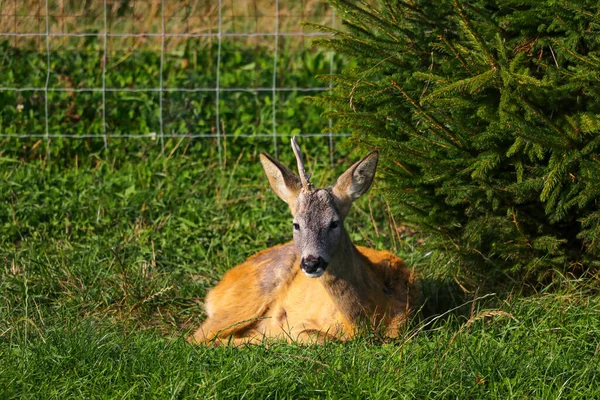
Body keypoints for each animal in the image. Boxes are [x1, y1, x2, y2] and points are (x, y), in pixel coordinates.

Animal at [190, 137, 420, 344]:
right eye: (296, 224)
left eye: (334, 223)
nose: (311, 263)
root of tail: (218, 287)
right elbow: (316, 337)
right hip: (248, 296)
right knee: (195, 338)